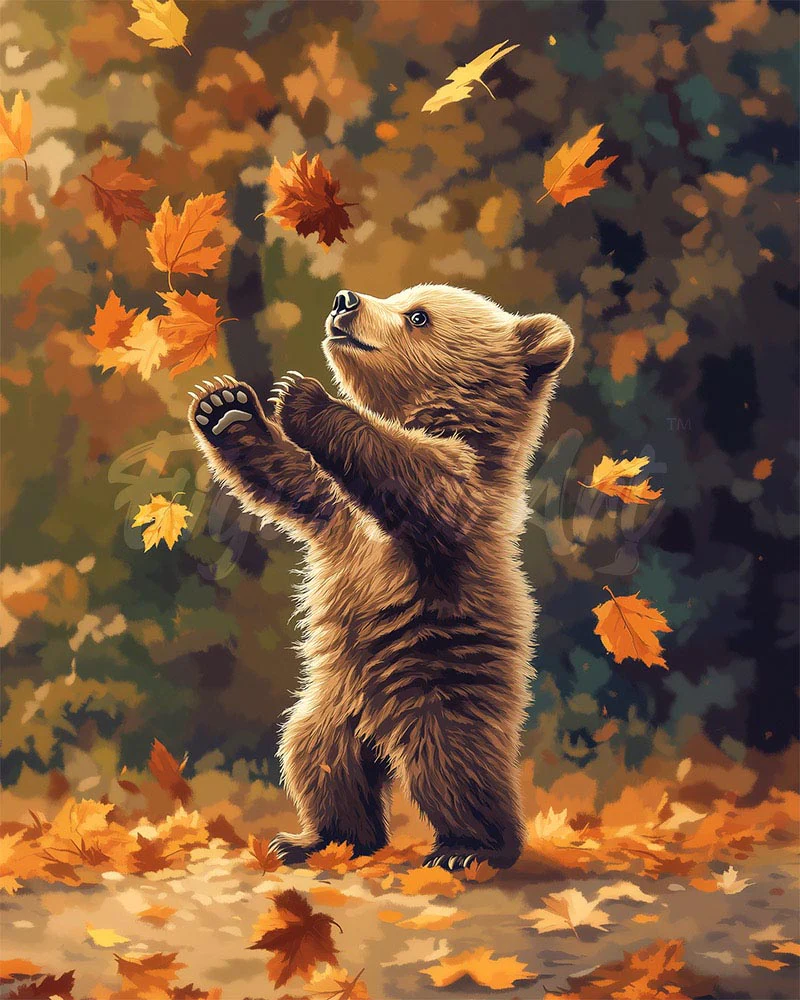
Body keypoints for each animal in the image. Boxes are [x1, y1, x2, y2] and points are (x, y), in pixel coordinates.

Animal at [188, 284, 573, 870]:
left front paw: (304, 397)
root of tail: (380, 730)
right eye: (402, 297)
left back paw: (473, 847)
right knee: (316, 758)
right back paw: (317, 839)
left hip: (442, 686)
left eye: (418, 315)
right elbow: (292, 479)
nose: (344, 301)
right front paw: (226, 408)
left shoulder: (461, 495)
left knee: (455, 767)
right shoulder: (337, 512)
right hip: (333, 703)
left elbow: (420, 476)